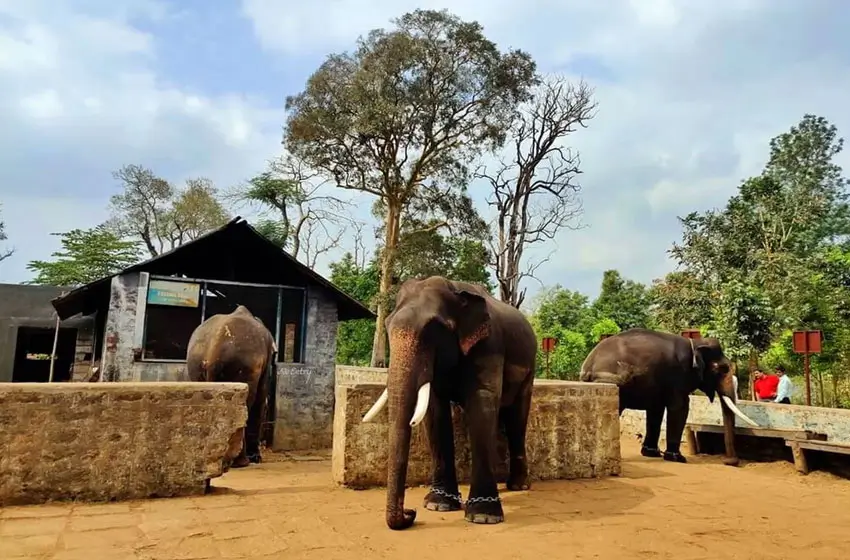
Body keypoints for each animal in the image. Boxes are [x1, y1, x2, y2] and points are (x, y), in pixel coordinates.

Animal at [186, 305, 277, 468]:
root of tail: (212, 354)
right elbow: (260, 399)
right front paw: (256, 458)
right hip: (242, 365)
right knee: (245, 403)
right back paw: (241, 462)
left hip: (195, 364)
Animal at [361, 276, 537, 531]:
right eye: (387, 324)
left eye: (435, 330)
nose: (410, 512)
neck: (456, 290)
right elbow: (435, 412)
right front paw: (438, 505)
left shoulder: (489, 345)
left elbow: (482, 403)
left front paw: (483, 517)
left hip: (529, 369)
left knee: (517, 420)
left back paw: (519, 486)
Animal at [579, 328, 759, 466]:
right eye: (722, 369)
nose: (729, 462)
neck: (695, 343)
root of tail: (588, 365)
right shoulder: (679, 376)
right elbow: (680, 407)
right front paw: (678, 458)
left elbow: (656, 410)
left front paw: (652, 453)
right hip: (613, 381)